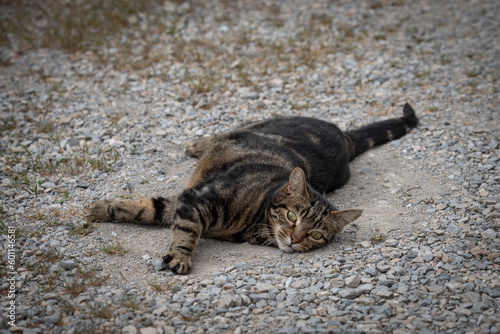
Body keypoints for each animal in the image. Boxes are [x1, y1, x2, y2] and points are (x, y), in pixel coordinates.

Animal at [86, 103, 418, 274]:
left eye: (316, 235)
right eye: (292, 217)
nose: (295, 240)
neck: (253, 220)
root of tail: (345, 138)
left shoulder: (183, 203)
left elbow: (149, 209)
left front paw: (104, 208)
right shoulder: (196, 200)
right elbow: (183, 230)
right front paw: (181, 256)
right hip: (258, 124)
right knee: (226, 132)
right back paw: (198, 144)